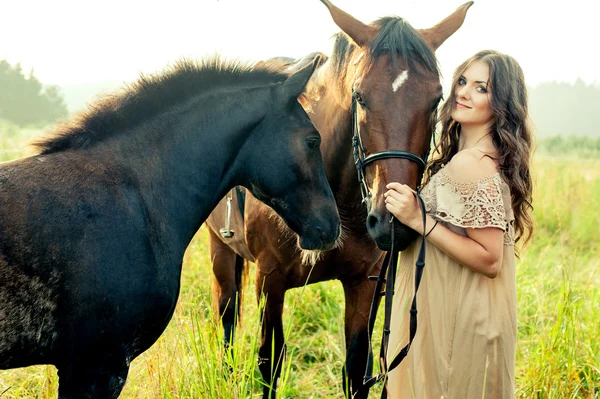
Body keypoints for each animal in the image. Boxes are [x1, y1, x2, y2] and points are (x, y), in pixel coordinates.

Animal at [206, 1, 474, 398]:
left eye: (436, 100)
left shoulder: (365, 284)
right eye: (360, 96)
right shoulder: (269, 280)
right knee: (226, 313)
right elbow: (269, 363)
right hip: (220, 249)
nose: (392, 221)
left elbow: (357, 369)